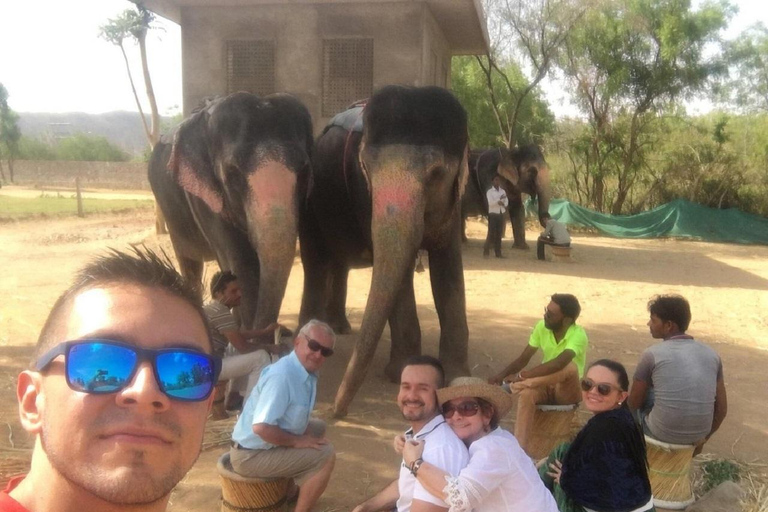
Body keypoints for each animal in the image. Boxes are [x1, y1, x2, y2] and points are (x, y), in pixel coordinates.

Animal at [148, 92, 313, 332]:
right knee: (189, 263)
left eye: (303, 171)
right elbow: (241, 263)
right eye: (232, 173)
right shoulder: (203, 198)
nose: (281, 330)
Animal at [298, 85, 471, 417]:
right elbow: (399, 275)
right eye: (366, 168)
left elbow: (448, 272)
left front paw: (457, 374)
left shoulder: (454, 205)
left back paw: (338, 328)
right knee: (315, 262)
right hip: (309, 204)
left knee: (337, 263)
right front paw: (401, 371)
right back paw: (306, 330)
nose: (335, 413)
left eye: (436, 174)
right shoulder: (364, 196)